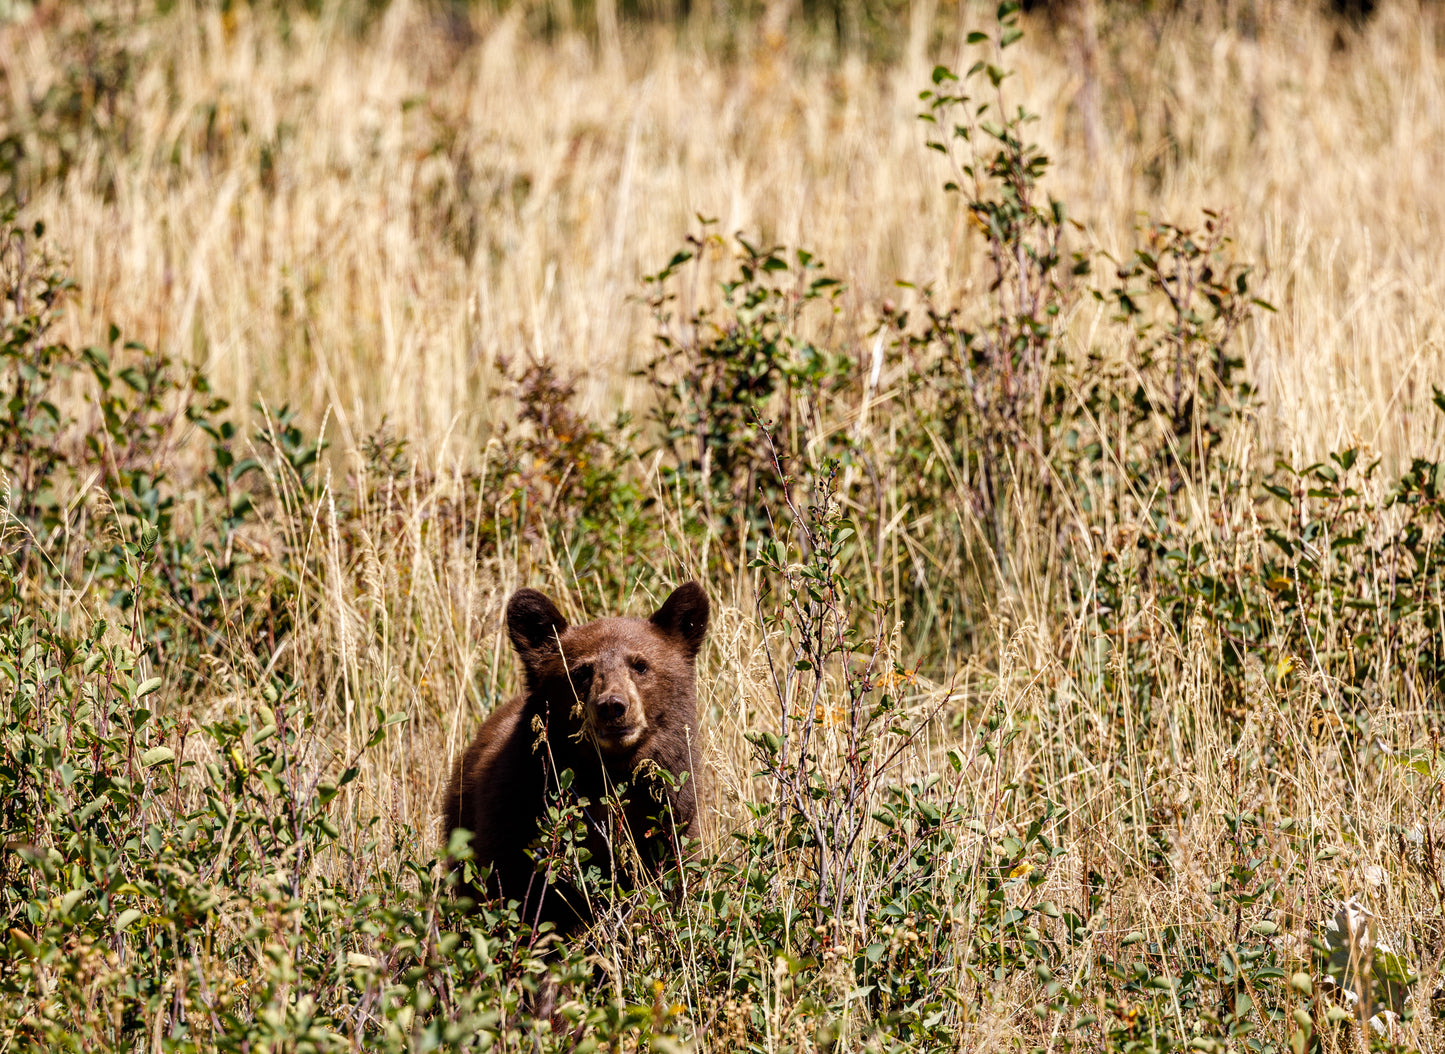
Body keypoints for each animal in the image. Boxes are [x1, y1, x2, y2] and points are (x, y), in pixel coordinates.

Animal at [442, 578, 708, 931]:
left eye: (641, 665)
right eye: (581, 671)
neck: (607, 774)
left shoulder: (670, 818)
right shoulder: (516, 815)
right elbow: (511, 891)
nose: (612, 706)